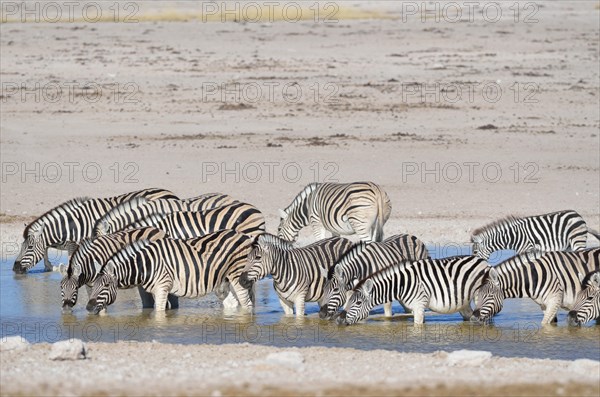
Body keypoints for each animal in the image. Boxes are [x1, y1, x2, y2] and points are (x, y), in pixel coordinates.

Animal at [85, 229, 254, 312]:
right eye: (93, 286)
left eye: (106, 286)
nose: (88, 307)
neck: (146, 265)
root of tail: (243, 235)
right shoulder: (158, 289)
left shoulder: (162, 287)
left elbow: (159, 312)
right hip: (222, 281)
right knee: (232, 303)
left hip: (237, 276)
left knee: (246, 304)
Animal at [336, 256, 490, 324]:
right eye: (347, 301)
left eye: (358, 303)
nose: (339, 320)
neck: (401, 285)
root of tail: (480, 260)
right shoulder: (415, 307)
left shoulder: (419, 305)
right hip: (463, 302)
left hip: (479, 296)